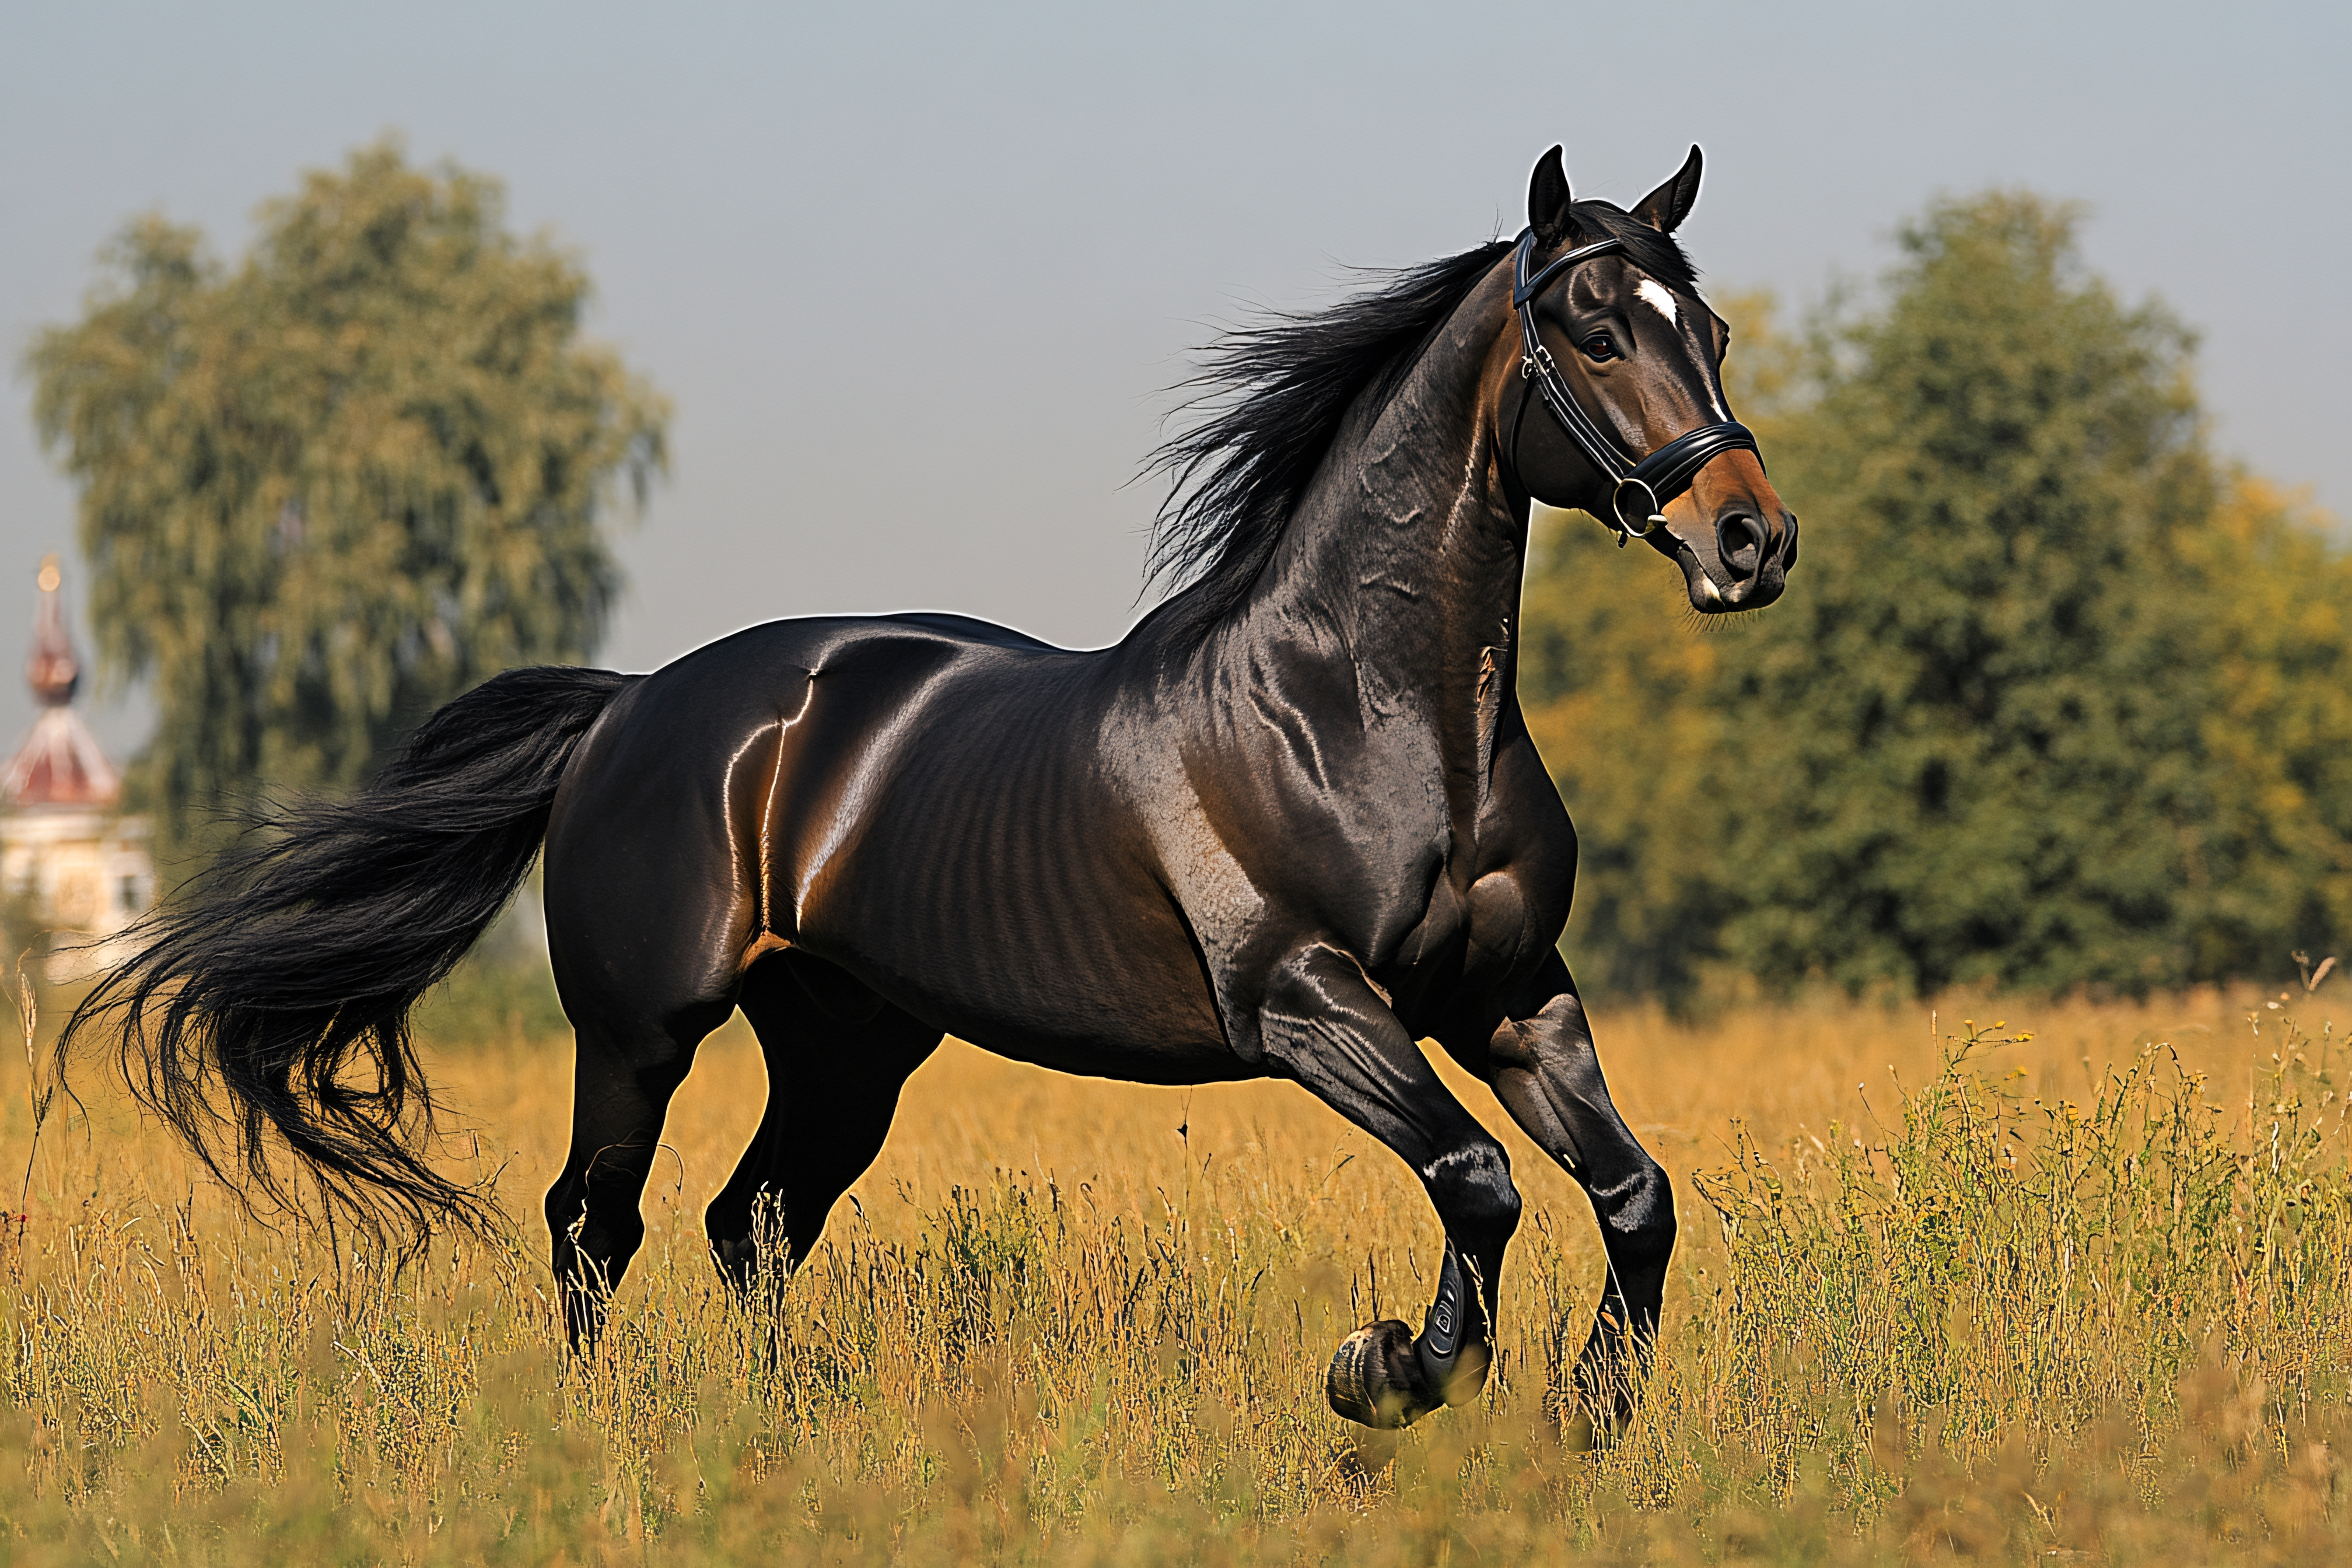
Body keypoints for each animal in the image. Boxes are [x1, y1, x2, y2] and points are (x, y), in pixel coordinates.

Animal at [65, 145, 1796, 1434]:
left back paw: (771, 1440)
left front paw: (1588, 1412)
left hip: (848, 1047)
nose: (1750, 540)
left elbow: (1629, 1195)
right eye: (1593, 328)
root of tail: (636, 709)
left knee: (749, 1226)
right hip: (640, 1033)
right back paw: (602, 1437)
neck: (1362, 707)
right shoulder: (1307, 1003)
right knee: (596, 1227)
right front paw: (1390, 1373)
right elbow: (1479, 1180)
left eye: (1705, 331)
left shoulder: (1510, 995)